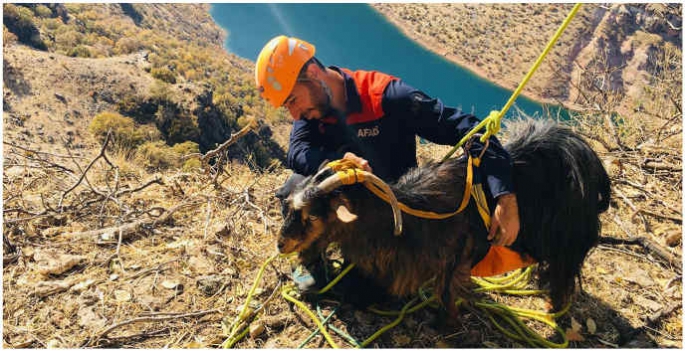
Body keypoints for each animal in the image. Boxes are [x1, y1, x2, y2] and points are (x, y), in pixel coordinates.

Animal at [276, 119, 608, 318]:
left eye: (312, 216)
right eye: (291, 206)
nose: (281, 245)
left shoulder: (455, 258)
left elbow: (448, 293)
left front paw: (446, 325)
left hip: (568, 244)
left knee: (564, 275)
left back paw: (555, 306)